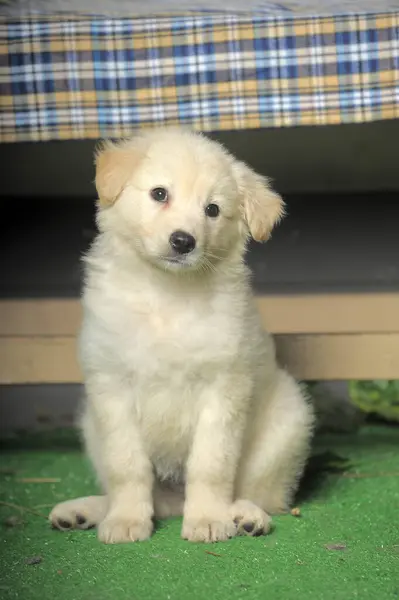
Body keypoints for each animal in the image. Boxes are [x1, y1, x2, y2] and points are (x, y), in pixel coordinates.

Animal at [49, 126, 312, 544]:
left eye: (213, 210)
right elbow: (127, 466)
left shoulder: (224, 388)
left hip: (287, 423)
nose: (184, 241)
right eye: (159, 194)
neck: (167, 295)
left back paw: (245, 515)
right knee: (142, 494)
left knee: (262, 495)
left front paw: (207, 519)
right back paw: (84, 510)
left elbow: (211, 464)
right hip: (90, 424)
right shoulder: (111, 386)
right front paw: (126, 519)